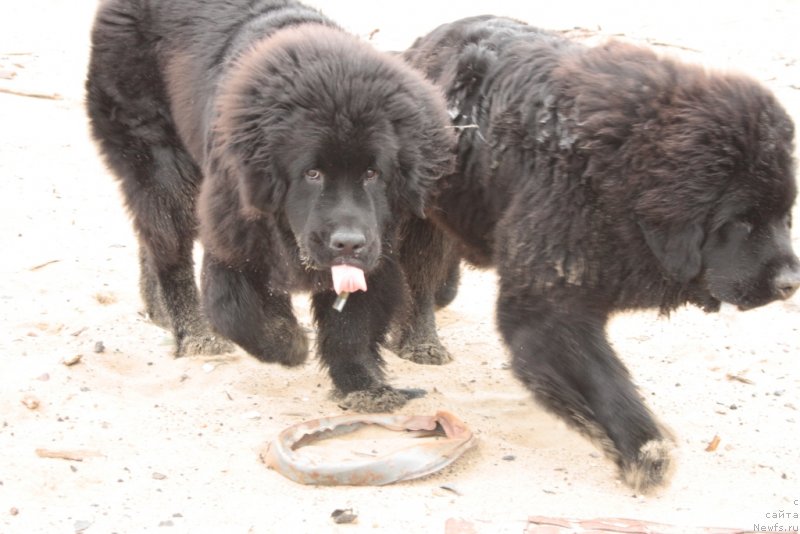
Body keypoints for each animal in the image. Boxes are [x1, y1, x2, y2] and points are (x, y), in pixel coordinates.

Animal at [86, 0, 456, 412]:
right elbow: (239, 309)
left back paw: (160, 313)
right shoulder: (233, 236)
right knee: (170, 249)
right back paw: (196, 335)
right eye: (312, 173)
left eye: (373, 173)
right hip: (158, 161)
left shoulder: (378, 244)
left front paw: (364, 388)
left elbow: (352, 325)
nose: (347, 242)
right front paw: (289, 342)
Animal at [400, 15, 800, 494]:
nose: (790, 283)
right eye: (740, 221)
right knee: (419, 277)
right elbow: (604, 381)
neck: (618, 170)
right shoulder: (549, 309)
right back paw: (422, 343)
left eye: (785, 216)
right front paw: (647, 452)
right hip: (424, 214)